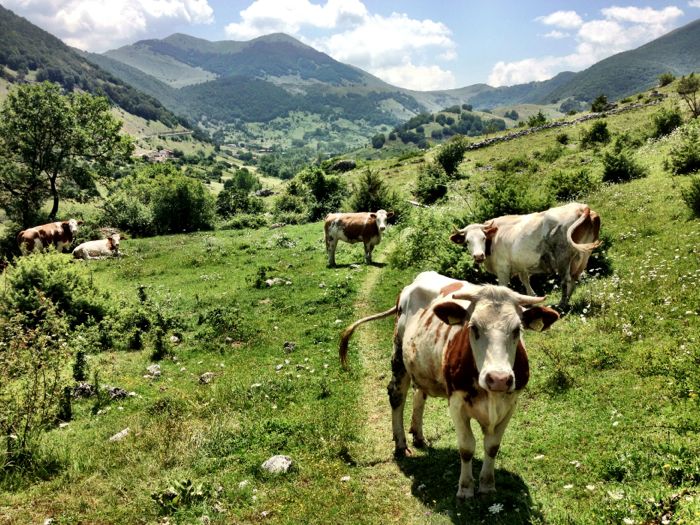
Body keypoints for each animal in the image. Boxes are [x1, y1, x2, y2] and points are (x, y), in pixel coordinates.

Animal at [336, 272, 560, 498]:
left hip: (420, 365)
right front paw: (466, 488)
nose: (498, 378)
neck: (490, 395)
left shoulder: (510, 404)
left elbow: (492, 446)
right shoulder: (457, 403)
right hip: (399, 354)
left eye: (517, 330)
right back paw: (401, 444)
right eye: (473, 327)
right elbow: (467, 447)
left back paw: (418, 435)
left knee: (419, 394)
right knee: (396, 396)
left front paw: (487, 485)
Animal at [452, 201, 600, 308]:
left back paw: (562, 305)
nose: (478, 256)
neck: (493, 238)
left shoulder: (503, 268)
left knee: (566, 280)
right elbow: (525, 281)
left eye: (483, 238)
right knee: (574, 279)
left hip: (563, 256)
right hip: (583, 256)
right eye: (467, 241)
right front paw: (531, 298)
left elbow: (503, 287)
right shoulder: (521, 266)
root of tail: (581, 207)